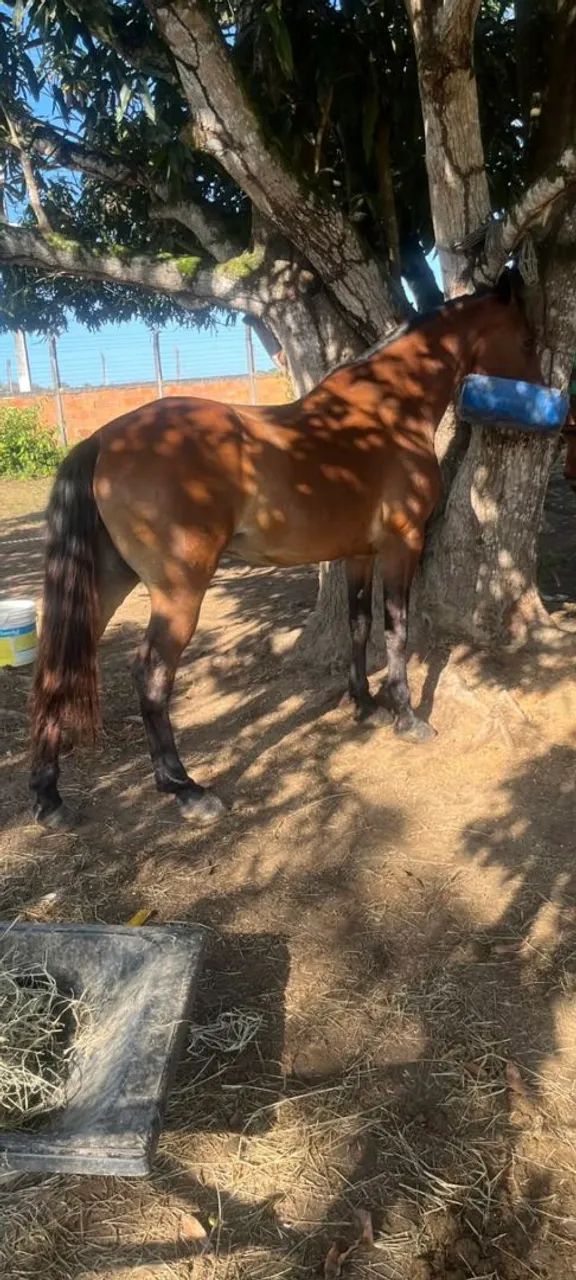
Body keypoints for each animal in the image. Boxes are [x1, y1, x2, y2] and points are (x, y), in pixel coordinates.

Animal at [30, 269, 541, 829]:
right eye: (525, 339)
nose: (553, 410)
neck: (383, 413)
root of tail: (103, 439)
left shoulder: (358, 553)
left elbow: (359, 624)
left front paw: (364, 704)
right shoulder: (401, 544)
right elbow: (397, 628)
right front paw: (407, 717)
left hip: (107, 581)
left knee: (56, 665)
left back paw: (49, 798)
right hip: (179, 590)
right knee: (151, 674)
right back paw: (186, 790)